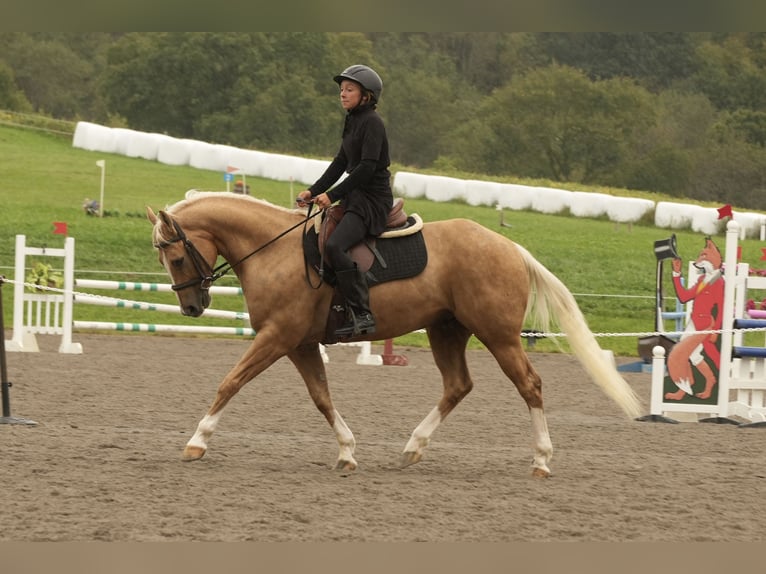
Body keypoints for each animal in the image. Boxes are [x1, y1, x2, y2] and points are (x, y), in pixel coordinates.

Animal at [147, 191, 642, 477]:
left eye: (175, 257)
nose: (192, 307)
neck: (274, 250)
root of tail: (510, 247)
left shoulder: (277, 337)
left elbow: (230, 382)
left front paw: (197, 442)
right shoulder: (300, 344)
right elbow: (322, 397)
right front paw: (347, 452)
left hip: (498, 335)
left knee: (530, 385)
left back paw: (541, 459)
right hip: (446, 330)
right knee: (458, 385)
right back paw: (412, 448)